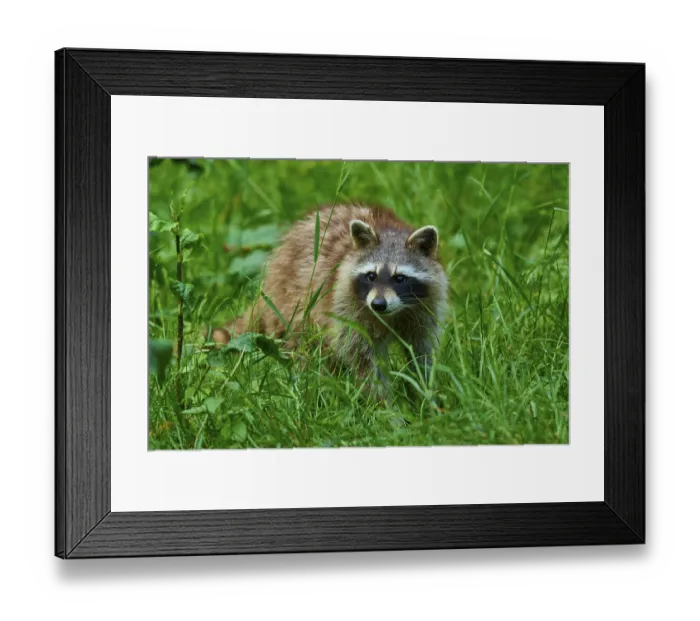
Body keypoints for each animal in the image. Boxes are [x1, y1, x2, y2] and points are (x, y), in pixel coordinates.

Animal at [212, 204, 449, 392]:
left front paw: (422, 393)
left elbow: (421, 351)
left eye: (399, 278)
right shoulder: (347, 306)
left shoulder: (425, 308)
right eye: (371, 276)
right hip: (293, 301)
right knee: (309, 347)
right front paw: (385, 408)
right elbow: (363, 359)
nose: (378, 304)